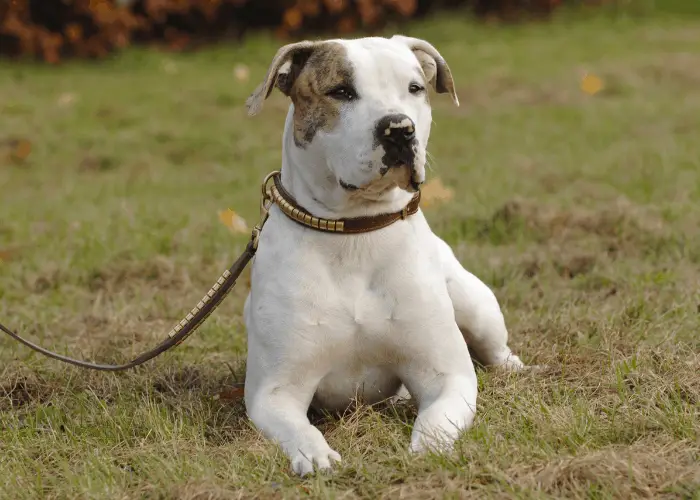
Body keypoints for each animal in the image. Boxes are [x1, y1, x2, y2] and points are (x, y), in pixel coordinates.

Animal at [241, 35, 524, 476]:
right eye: (341, 91)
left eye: (414, 88)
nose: (399, 128)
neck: (354, 231)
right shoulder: (274, 392)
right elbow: (298, 429)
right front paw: (314, 455)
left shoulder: (447, 376)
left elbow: (436, 421)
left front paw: (427, 450)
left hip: (474, 304)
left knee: (495, 349)